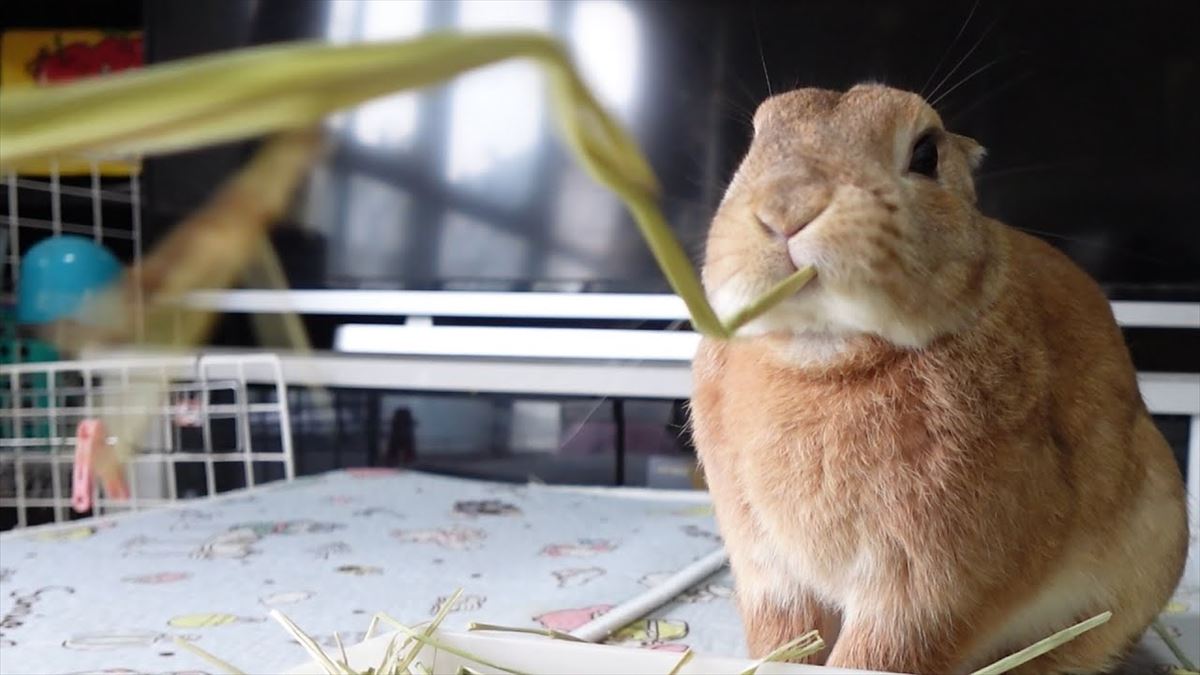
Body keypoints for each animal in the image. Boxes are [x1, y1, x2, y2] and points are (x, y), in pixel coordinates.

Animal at [691, 85, 1185, 672]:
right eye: (755, 143)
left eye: (925, 154)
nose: (786, 210)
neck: (824, 360)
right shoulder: (770, 569)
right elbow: (784, 636)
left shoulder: (929, 585)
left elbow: (881, 652)